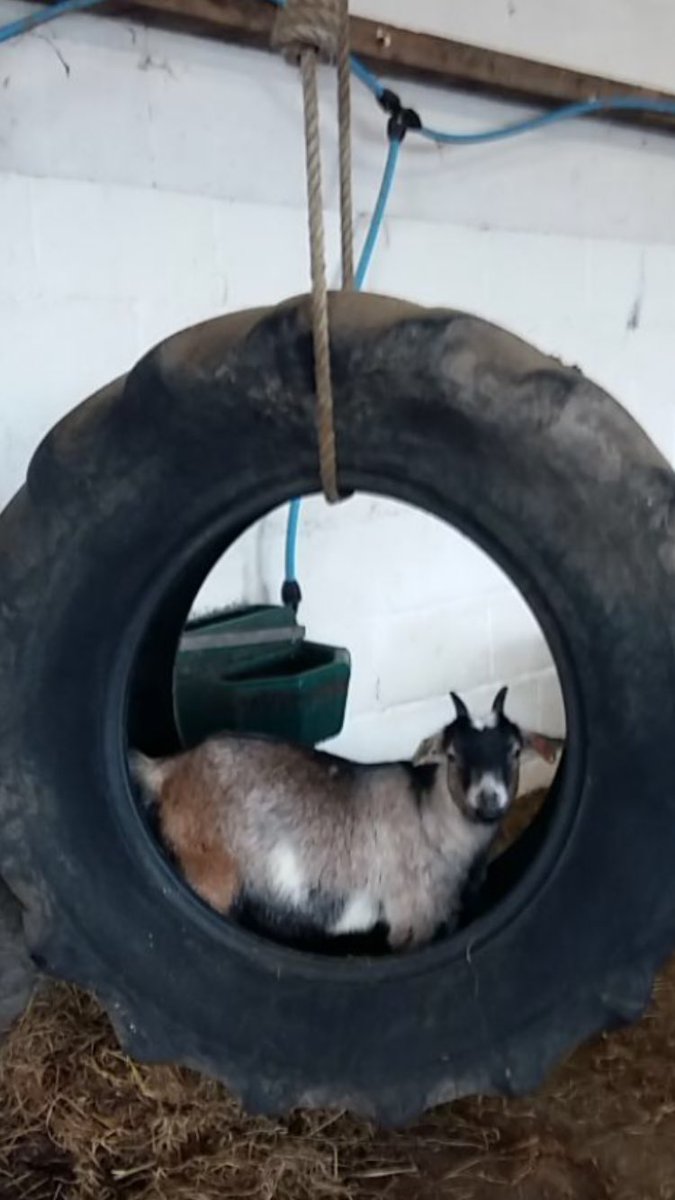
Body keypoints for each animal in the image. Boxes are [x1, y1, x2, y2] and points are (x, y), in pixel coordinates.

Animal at [131, 687, 544, 951]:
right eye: (454, 754)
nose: (489, 798)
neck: (430, 813)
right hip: (208, 873)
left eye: (514, 750)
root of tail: (169, 769)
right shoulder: (411, 917)